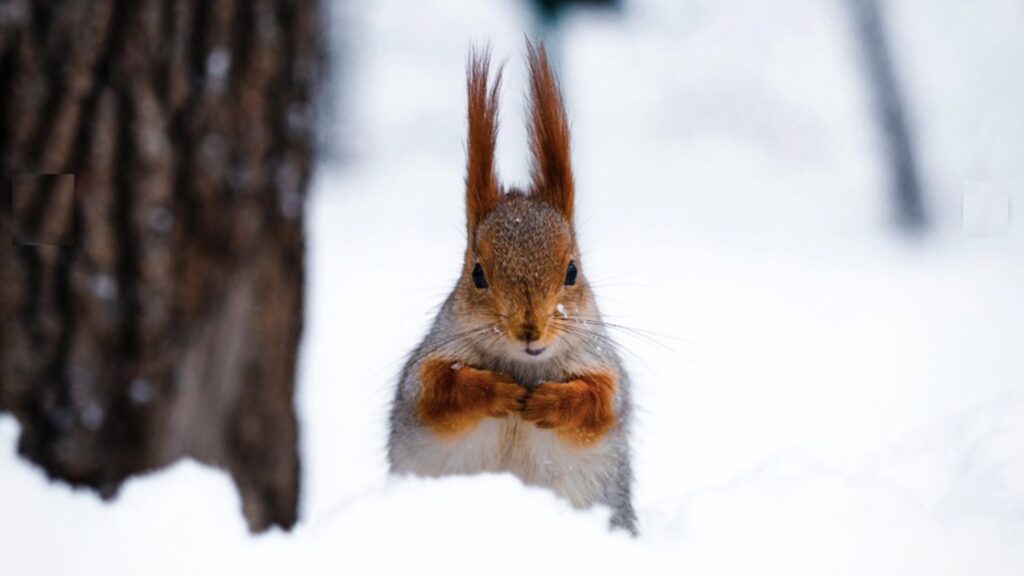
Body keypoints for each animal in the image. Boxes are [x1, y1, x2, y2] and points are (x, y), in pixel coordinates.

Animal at [385, 41, 634, 532]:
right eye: (477, 274)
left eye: (572, 271)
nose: (529, 330)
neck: (523, 365)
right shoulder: (422, 376)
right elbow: (438, 393)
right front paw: (499, 392)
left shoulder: (605, 369)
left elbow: (599, 403)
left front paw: (547, 402)